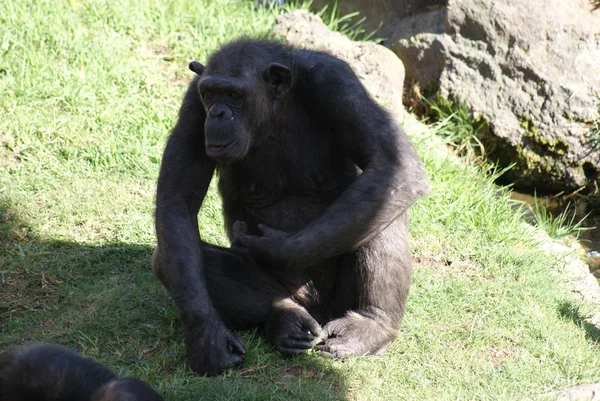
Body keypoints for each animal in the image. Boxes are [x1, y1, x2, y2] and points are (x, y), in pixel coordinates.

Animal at [152, 37, 428, 376]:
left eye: (234, 95)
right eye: (210, 93)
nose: (216, 113)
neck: (274, 111)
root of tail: (317, 309)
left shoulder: (336, 82)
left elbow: (393, 163)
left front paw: (273, 248)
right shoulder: (193, 105)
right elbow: (178, 200)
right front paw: (208, 338)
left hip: (339, 301)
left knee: (384, 208)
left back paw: (371, 325)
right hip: (288, 291)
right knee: (174, 257)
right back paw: (285, 318)